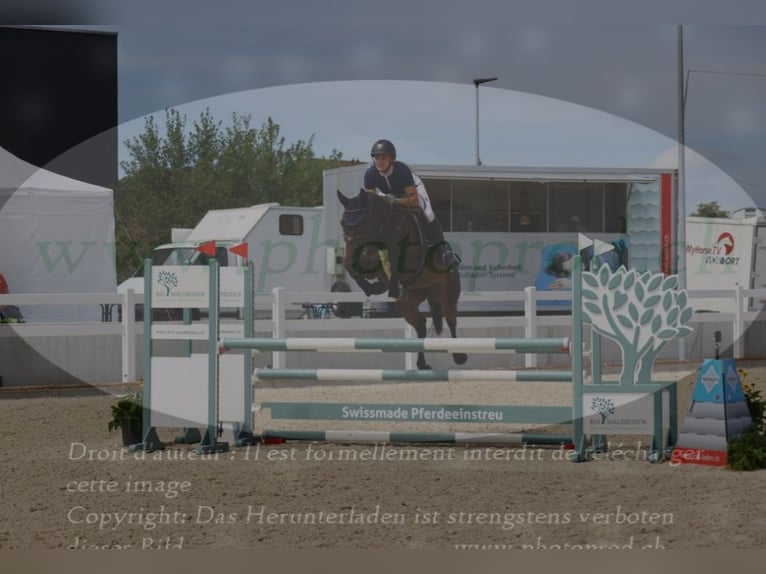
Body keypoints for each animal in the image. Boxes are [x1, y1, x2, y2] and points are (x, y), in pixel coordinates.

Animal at [338, 187, 468, 372]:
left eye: (363, 222)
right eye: (343, 223)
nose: (352, 248)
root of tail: (427, 291)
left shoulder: (409, 259)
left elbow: (392, 262)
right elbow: (357, 266)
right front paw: (370, 285)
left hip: (447, 293)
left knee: (451, 319)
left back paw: (459, 356)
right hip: (407, 304)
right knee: (421, 324)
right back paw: (422, 364)